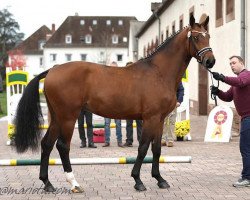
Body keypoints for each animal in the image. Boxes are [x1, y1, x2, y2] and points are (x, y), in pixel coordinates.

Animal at [13, 14, 215, 193]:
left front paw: (159, 179)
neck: (158, 72)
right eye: (196, 37)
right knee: (62, 146)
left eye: (208, 36)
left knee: (47, 144)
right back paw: (74, 183)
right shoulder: (150, 118)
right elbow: (143, 148)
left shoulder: (159, 120)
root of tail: (53, 69)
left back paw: (47, 183)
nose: (210, 61)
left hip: (56, 117)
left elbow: (156, 149)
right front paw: (138, 181)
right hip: (68, 117)